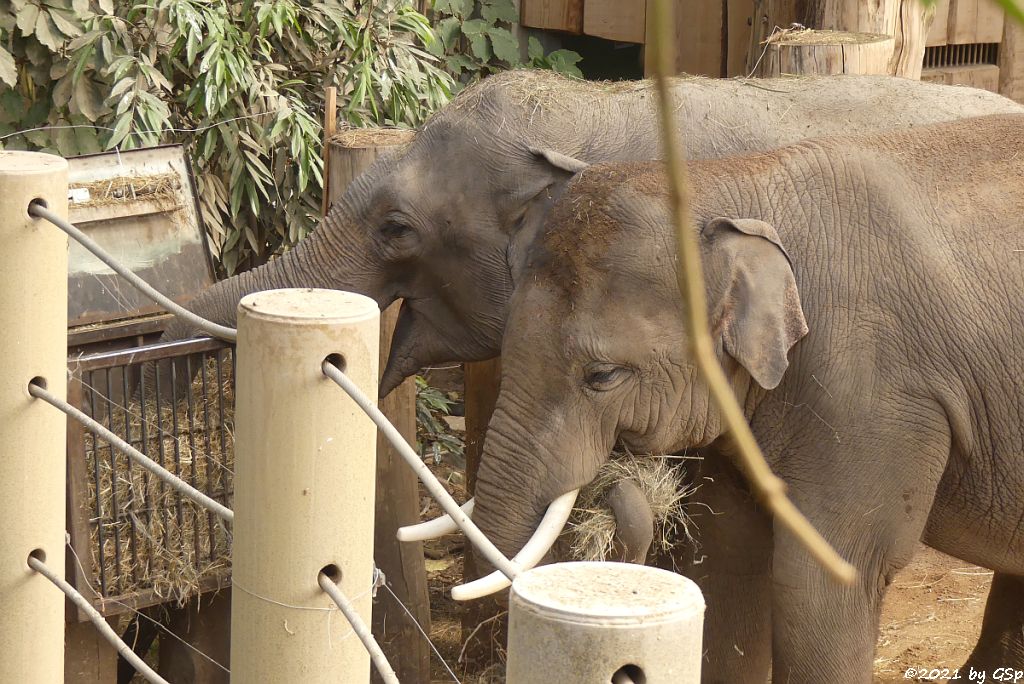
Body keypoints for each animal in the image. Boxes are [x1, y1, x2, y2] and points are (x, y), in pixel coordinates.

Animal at [464, 114, 1024, 679]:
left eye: (602, 376)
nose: (614, 483)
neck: (737, 185)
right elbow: (728, 560)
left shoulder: (873, 395)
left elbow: (824, 586)